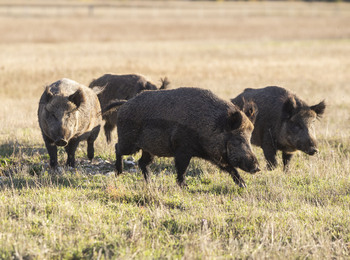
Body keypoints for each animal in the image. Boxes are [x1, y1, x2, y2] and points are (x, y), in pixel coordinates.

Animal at [102, 87, 258, 187]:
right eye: (238, 139)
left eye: (249, 138)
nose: (257, 167)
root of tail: (124, 104)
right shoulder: (182, 149)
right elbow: (182, 168)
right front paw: (184, 186)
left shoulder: (214, 155)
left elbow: (230, 168)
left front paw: (243, 185)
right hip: (128, 141)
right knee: (117, 148)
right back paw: (119, 172)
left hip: (149, 149)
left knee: (142, 162)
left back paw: (149, 182)